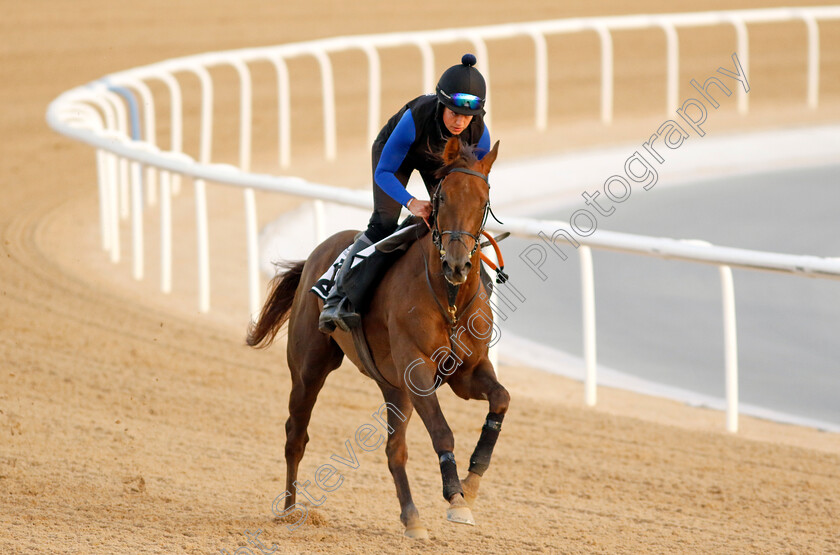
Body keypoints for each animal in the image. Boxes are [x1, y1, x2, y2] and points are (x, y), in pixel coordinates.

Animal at [246, 137, 508, 540]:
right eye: (442, 197)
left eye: (483, 200)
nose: (457, 264)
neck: (449, 298)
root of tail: (316, 255)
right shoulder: (418, 370)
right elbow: (442, 432)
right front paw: (455, 498)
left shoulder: (467, 371)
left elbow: (501, 399)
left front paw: (472, 482)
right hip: (309, 368)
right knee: (296, 434)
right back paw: (289, 511)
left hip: (393, 387)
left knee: (393, 449)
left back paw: (411, 518)